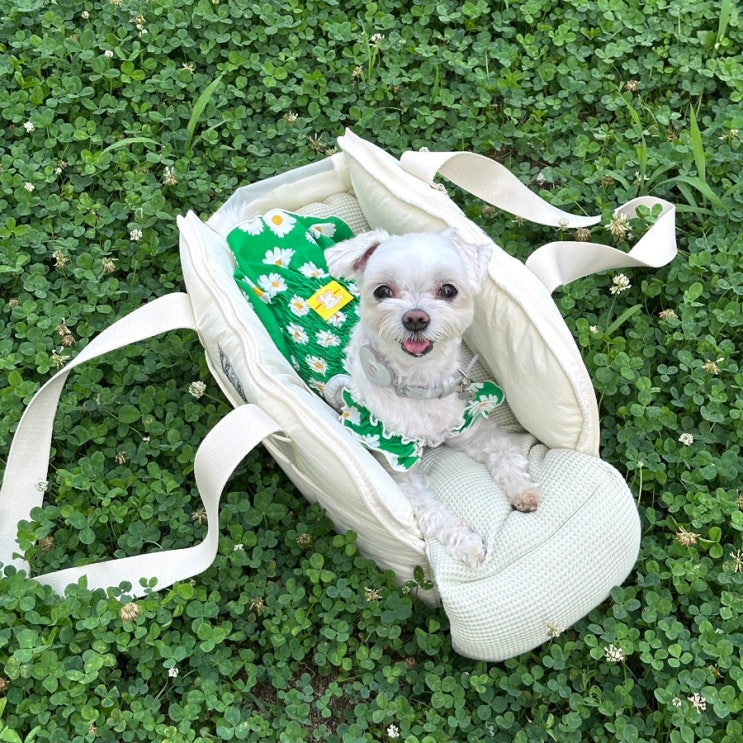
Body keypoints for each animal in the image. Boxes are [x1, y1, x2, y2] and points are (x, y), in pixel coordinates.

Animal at [325, 228, 541, 567]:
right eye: (382, 291)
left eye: (448, 290)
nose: (415, 318)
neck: (418, 383)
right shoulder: (396, 461)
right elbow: (433, 513)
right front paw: (469, 544)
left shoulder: (468, 426)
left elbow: (505, 452)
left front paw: (523, 491)